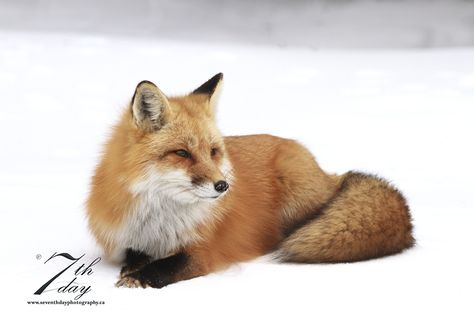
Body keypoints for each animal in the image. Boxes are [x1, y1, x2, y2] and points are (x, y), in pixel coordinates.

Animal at [87, 73, 412, 288]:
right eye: (182, 153)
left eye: (213, 151)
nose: (222, 186)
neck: (160, 217)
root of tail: (327, 172)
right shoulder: (129, 238)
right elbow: (135, 255)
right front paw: (133, 268)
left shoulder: (204, 252)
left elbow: (170, 265)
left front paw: (141, 277)